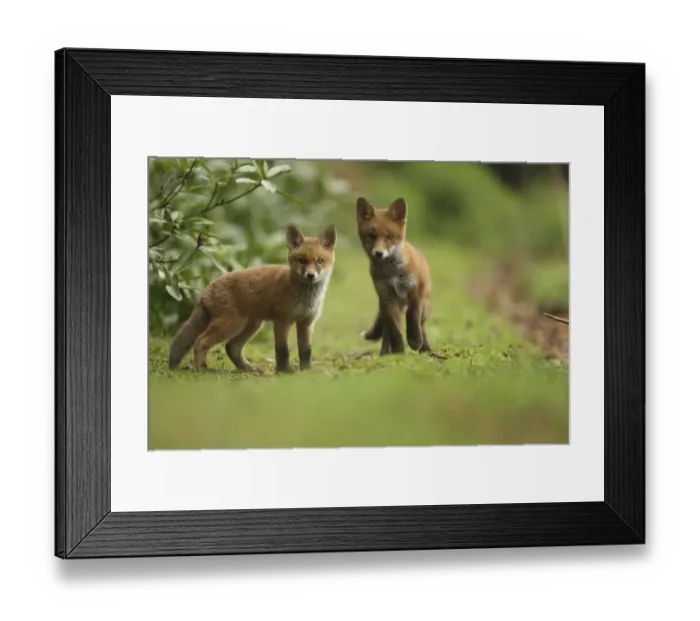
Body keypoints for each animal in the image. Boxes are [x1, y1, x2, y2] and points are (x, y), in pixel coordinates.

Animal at [168, 223, 338, 374]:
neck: (306, 297)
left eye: (319, 261)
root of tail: (205, 290)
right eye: (302, 260)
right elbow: (282, 350)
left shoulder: (306, 323)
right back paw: (200, 370)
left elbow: (305, 351)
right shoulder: (282, 321)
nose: (310, 275)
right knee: (201, 341)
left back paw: (248, 369)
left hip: (251, 325)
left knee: (231, 347)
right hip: (231, 324)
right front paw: (284, 371)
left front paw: (306, 371)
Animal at [356, 196, 432, 356]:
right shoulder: (388, 297)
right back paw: (384, 353)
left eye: (389, 237)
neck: (393, 272)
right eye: (372, 236)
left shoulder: (415, 292)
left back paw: (426, 348)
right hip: (386, 307)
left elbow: (412, 316)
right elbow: (395, 331)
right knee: (387, 332)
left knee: (422, 325)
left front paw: (414, 340)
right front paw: (399, 351)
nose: (379, 253)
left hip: (424, 306)